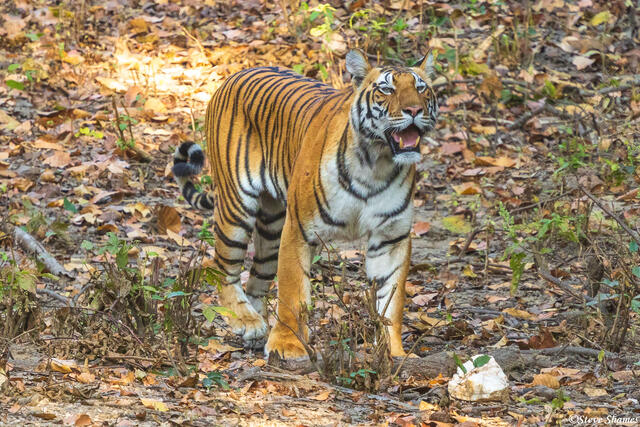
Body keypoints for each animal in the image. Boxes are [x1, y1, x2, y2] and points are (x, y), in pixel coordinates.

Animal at [172, 50, 438, 359]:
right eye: (386, 89)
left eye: (421, 88)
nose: (414, 110)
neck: (376, 163)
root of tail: (234, 74)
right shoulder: (299, 228)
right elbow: (293, 291)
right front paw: (287, 345)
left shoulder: (391, 237)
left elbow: (390, 301)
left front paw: (393, 352)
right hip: (236, 208)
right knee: (220, 268)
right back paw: (247, 322)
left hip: (271, 226)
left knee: (255, 279)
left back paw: (258, 328)